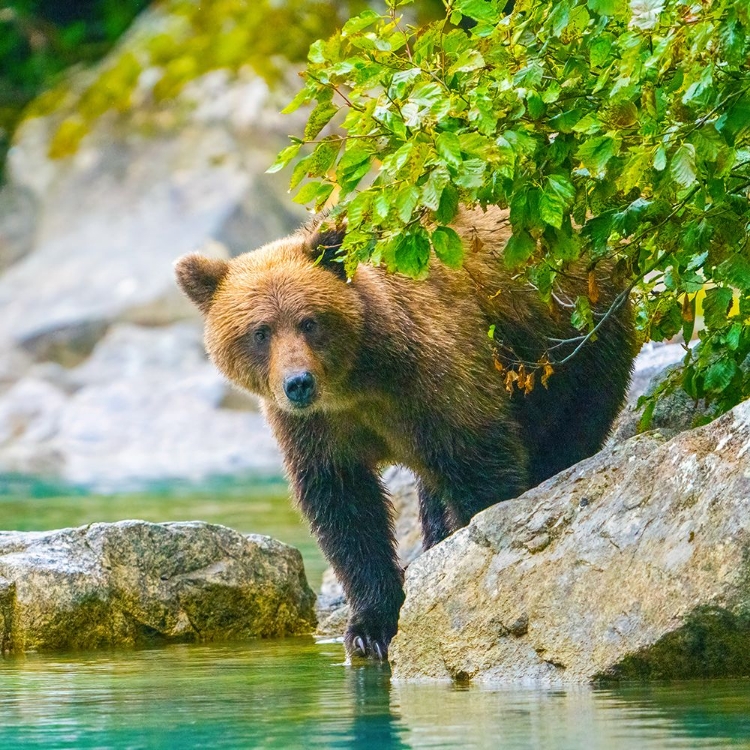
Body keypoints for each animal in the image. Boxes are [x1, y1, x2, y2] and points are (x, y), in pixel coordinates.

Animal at [175, 209, 636, 660]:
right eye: (260, 331)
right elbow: (345, 510)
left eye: (309, 322)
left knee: (568, 434)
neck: (359, 380)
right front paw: (370, 628)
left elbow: (480, 465)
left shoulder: (435, 378)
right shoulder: (316, 430)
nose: (298, 383)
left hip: (577, 349)